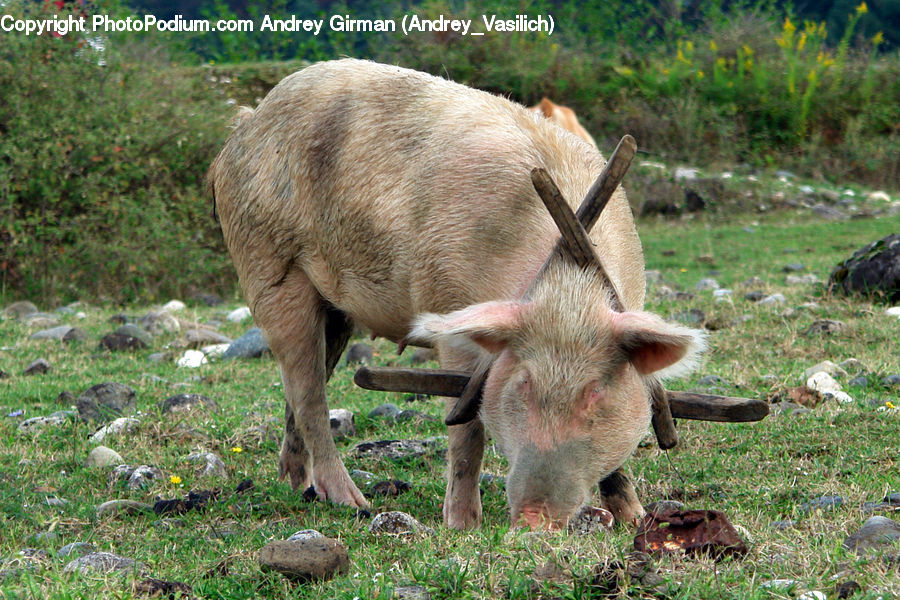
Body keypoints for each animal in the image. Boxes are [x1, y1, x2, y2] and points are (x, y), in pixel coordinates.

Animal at [208, 58, 706, 530]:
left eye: (595, 393)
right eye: (523, 383)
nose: (533, 520)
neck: (566, 281)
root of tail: (246, 124)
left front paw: (634, 517)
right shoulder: (448, 308)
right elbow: (467, 427)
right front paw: (463, 525)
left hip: (333, 307)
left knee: (300, 392)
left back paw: (297, 485)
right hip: (268, 264)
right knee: (307, 391)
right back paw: (352, 502)